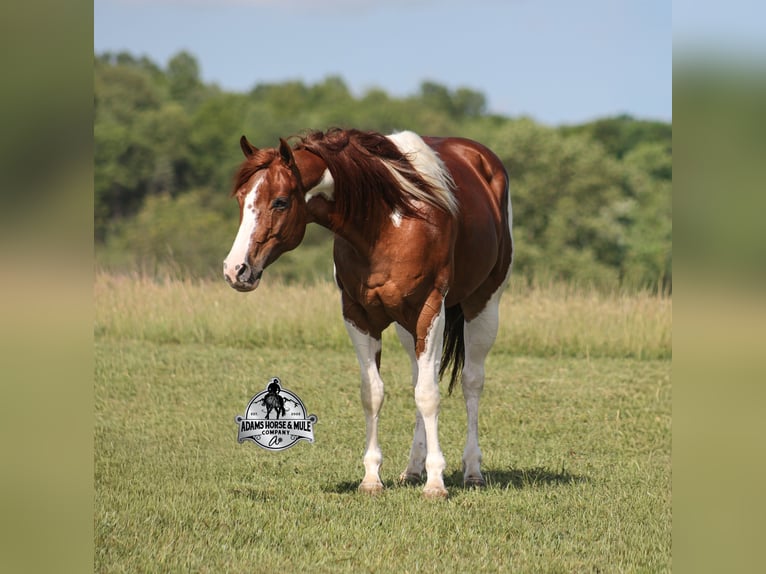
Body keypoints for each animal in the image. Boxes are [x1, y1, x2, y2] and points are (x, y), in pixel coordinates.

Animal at [223, 128, 513, 498]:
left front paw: (436, 482)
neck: (388, 223)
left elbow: (429, 396)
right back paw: (413, 468)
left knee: (470, 382)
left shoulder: (430, 309)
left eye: (280, 202)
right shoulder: (358, 315)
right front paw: (372, 477)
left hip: (482, 306)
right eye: (241, 199)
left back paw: (472, 470)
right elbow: (374, 393)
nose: (236, 269)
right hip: (408, 326)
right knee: (421, 376)